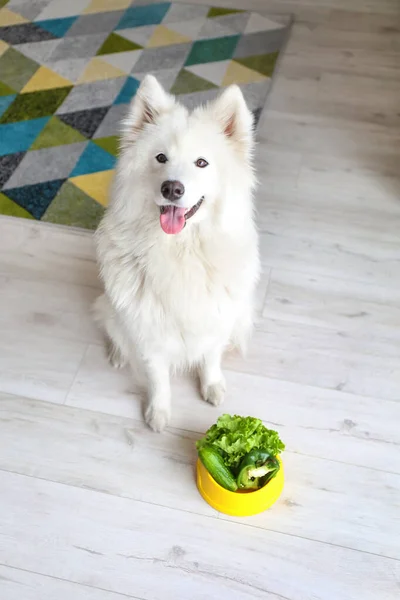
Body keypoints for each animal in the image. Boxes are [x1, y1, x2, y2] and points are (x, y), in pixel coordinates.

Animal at [95, 74, 260, 432]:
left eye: (201, 163)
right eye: (160, 158)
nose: (172, 188)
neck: (182, 251)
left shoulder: (215, 318)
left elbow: (210, 357)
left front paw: (212, 386)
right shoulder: (148, 332)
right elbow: (158, 378)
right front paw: (158, 413)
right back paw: (118, 354)